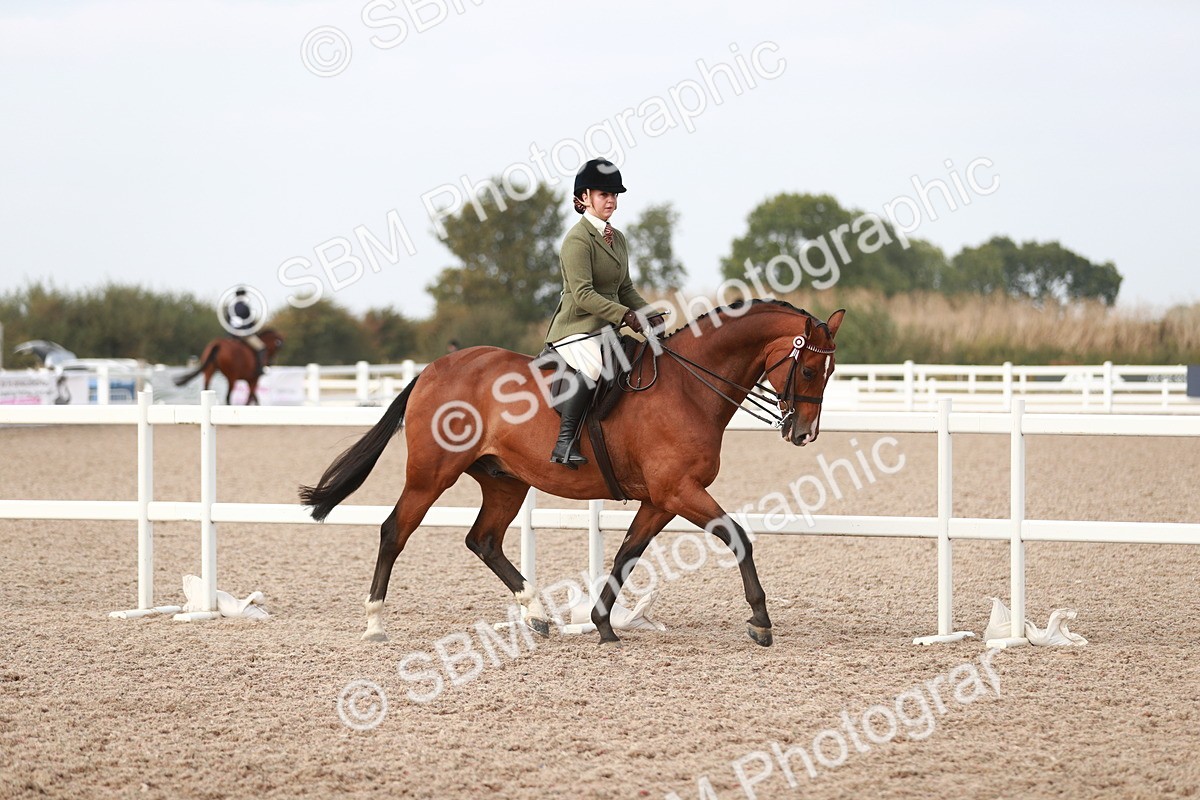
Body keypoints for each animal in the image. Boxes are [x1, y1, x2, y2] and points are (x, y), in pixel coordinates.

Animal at [300, 300, 844, 646]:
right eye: (809, 370)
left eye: (832, 373)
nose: (804, 434)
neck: (690, 387)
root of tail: (434, 368)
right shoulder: (679, 491)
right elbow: (738, 537)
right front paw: (761, 620)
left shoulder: (660, 499)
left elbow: (626, 555)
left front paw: (602, 623)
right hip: (431, 474)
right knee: (395, 531)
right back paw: (374, 624)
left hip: (505, 480)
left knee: (484, 540)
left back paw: (537, 615)